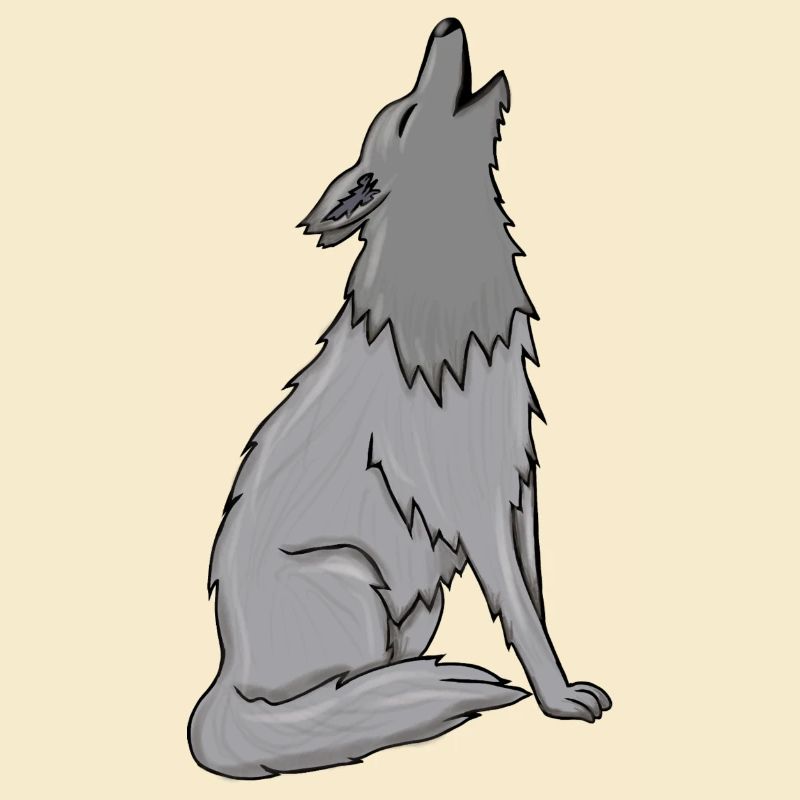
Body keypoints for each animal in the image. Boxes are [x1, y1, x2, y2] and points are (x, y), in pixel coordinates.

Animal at [188, 18, 611, 780]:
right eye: (408, 116)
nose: (445, 22)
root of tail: (223, 681)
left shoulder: (518, 486)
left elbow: (537, 598)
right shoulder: (475, 503)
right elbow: (522, 615)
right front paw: (560, 702)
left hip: (416, 600)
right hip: (354, 577)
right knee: (319, 705)